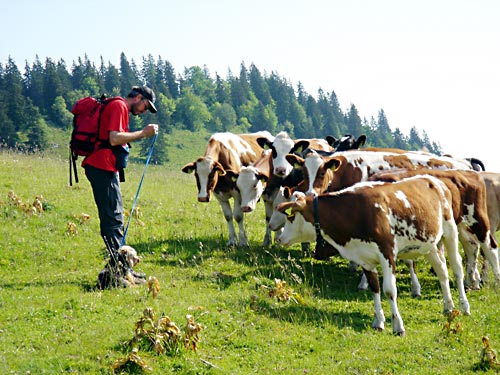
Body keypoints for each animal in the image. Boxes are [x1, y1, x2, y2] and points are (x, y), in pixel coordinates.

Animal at [276, 178, 470, 336]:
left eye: (291, 218)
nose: (279, 238)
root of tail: (435, 180)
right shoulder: (365, 258)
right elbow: (374, 288)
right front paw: (379, 321)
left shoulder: (387, 253)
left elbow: (390, 291)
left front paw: (398, 326)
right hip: (429, 245)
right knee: (442, 271)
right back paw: (448, 306)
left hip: (450, 232)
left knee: (457, 270)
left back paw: (463, 306)